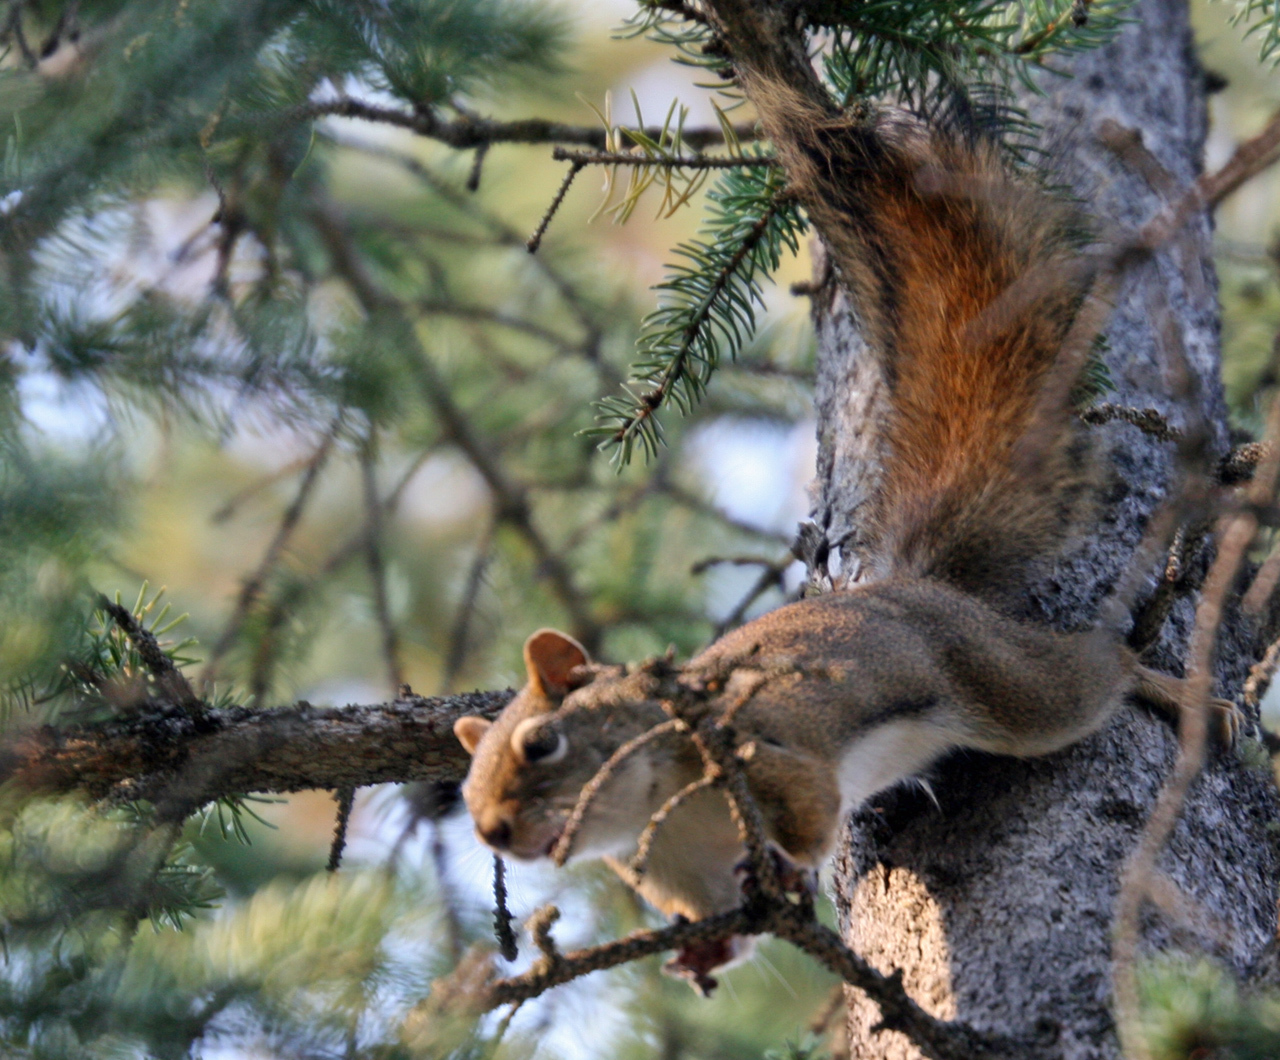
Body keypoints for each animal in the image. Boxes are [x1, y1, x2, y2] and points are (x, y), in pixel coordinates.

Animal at [448, 107, 1239, 993]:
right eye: (466, 790)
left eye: (541, 744)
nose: (492, 833)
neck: (657, 807)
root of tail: (922, 589)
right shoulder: (686, 873)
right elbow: (726, 923)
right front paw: (707, 950)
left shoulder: (769, 756)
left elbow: (808, 812)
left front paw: (790, 870)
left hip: (1010, 686)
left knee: (1094, 671)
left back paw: (1176, 692)